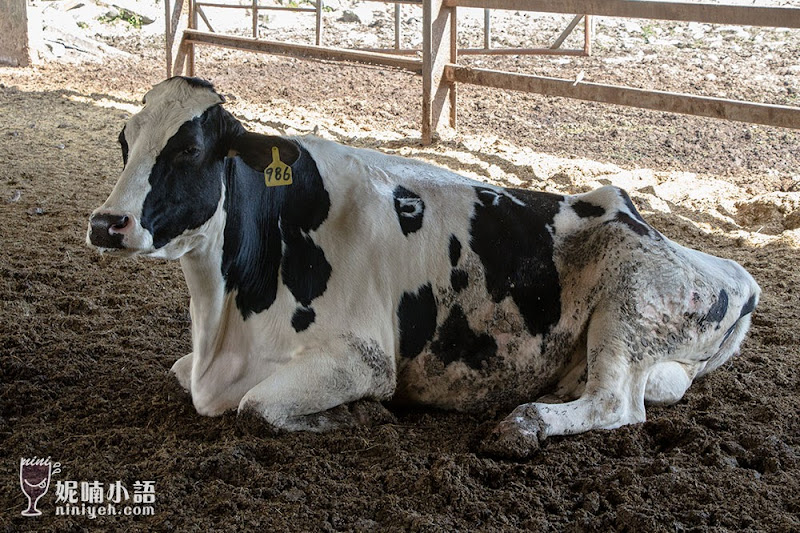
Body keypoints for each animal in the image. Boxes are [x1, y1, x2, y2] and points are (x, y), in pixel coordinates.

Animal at [87, 76, 764, 458]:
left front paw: (355, 415)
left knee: (615, 403)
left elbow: (256, 408)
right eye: (125, 141)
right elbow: (180, 373)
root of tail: (736, 274)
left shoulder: (362, 359)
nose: (105, 223)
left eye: (189, 149)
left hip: (629, 296)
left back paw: (524, 426)